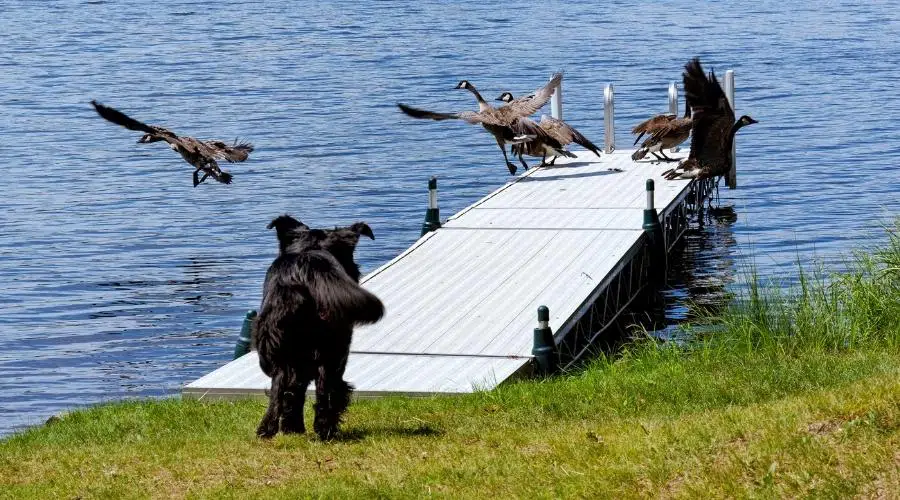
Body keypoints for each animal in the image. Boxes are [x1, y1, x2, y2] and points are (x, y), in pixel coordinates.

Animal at [253, 213, 384, 440]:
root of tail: (306, 266)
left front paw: (292, 428)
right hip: (332, 349)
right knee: (326, 389)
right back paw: (326, 430)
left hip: (278, 346)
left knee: (283, 387)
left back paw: (271, 430)